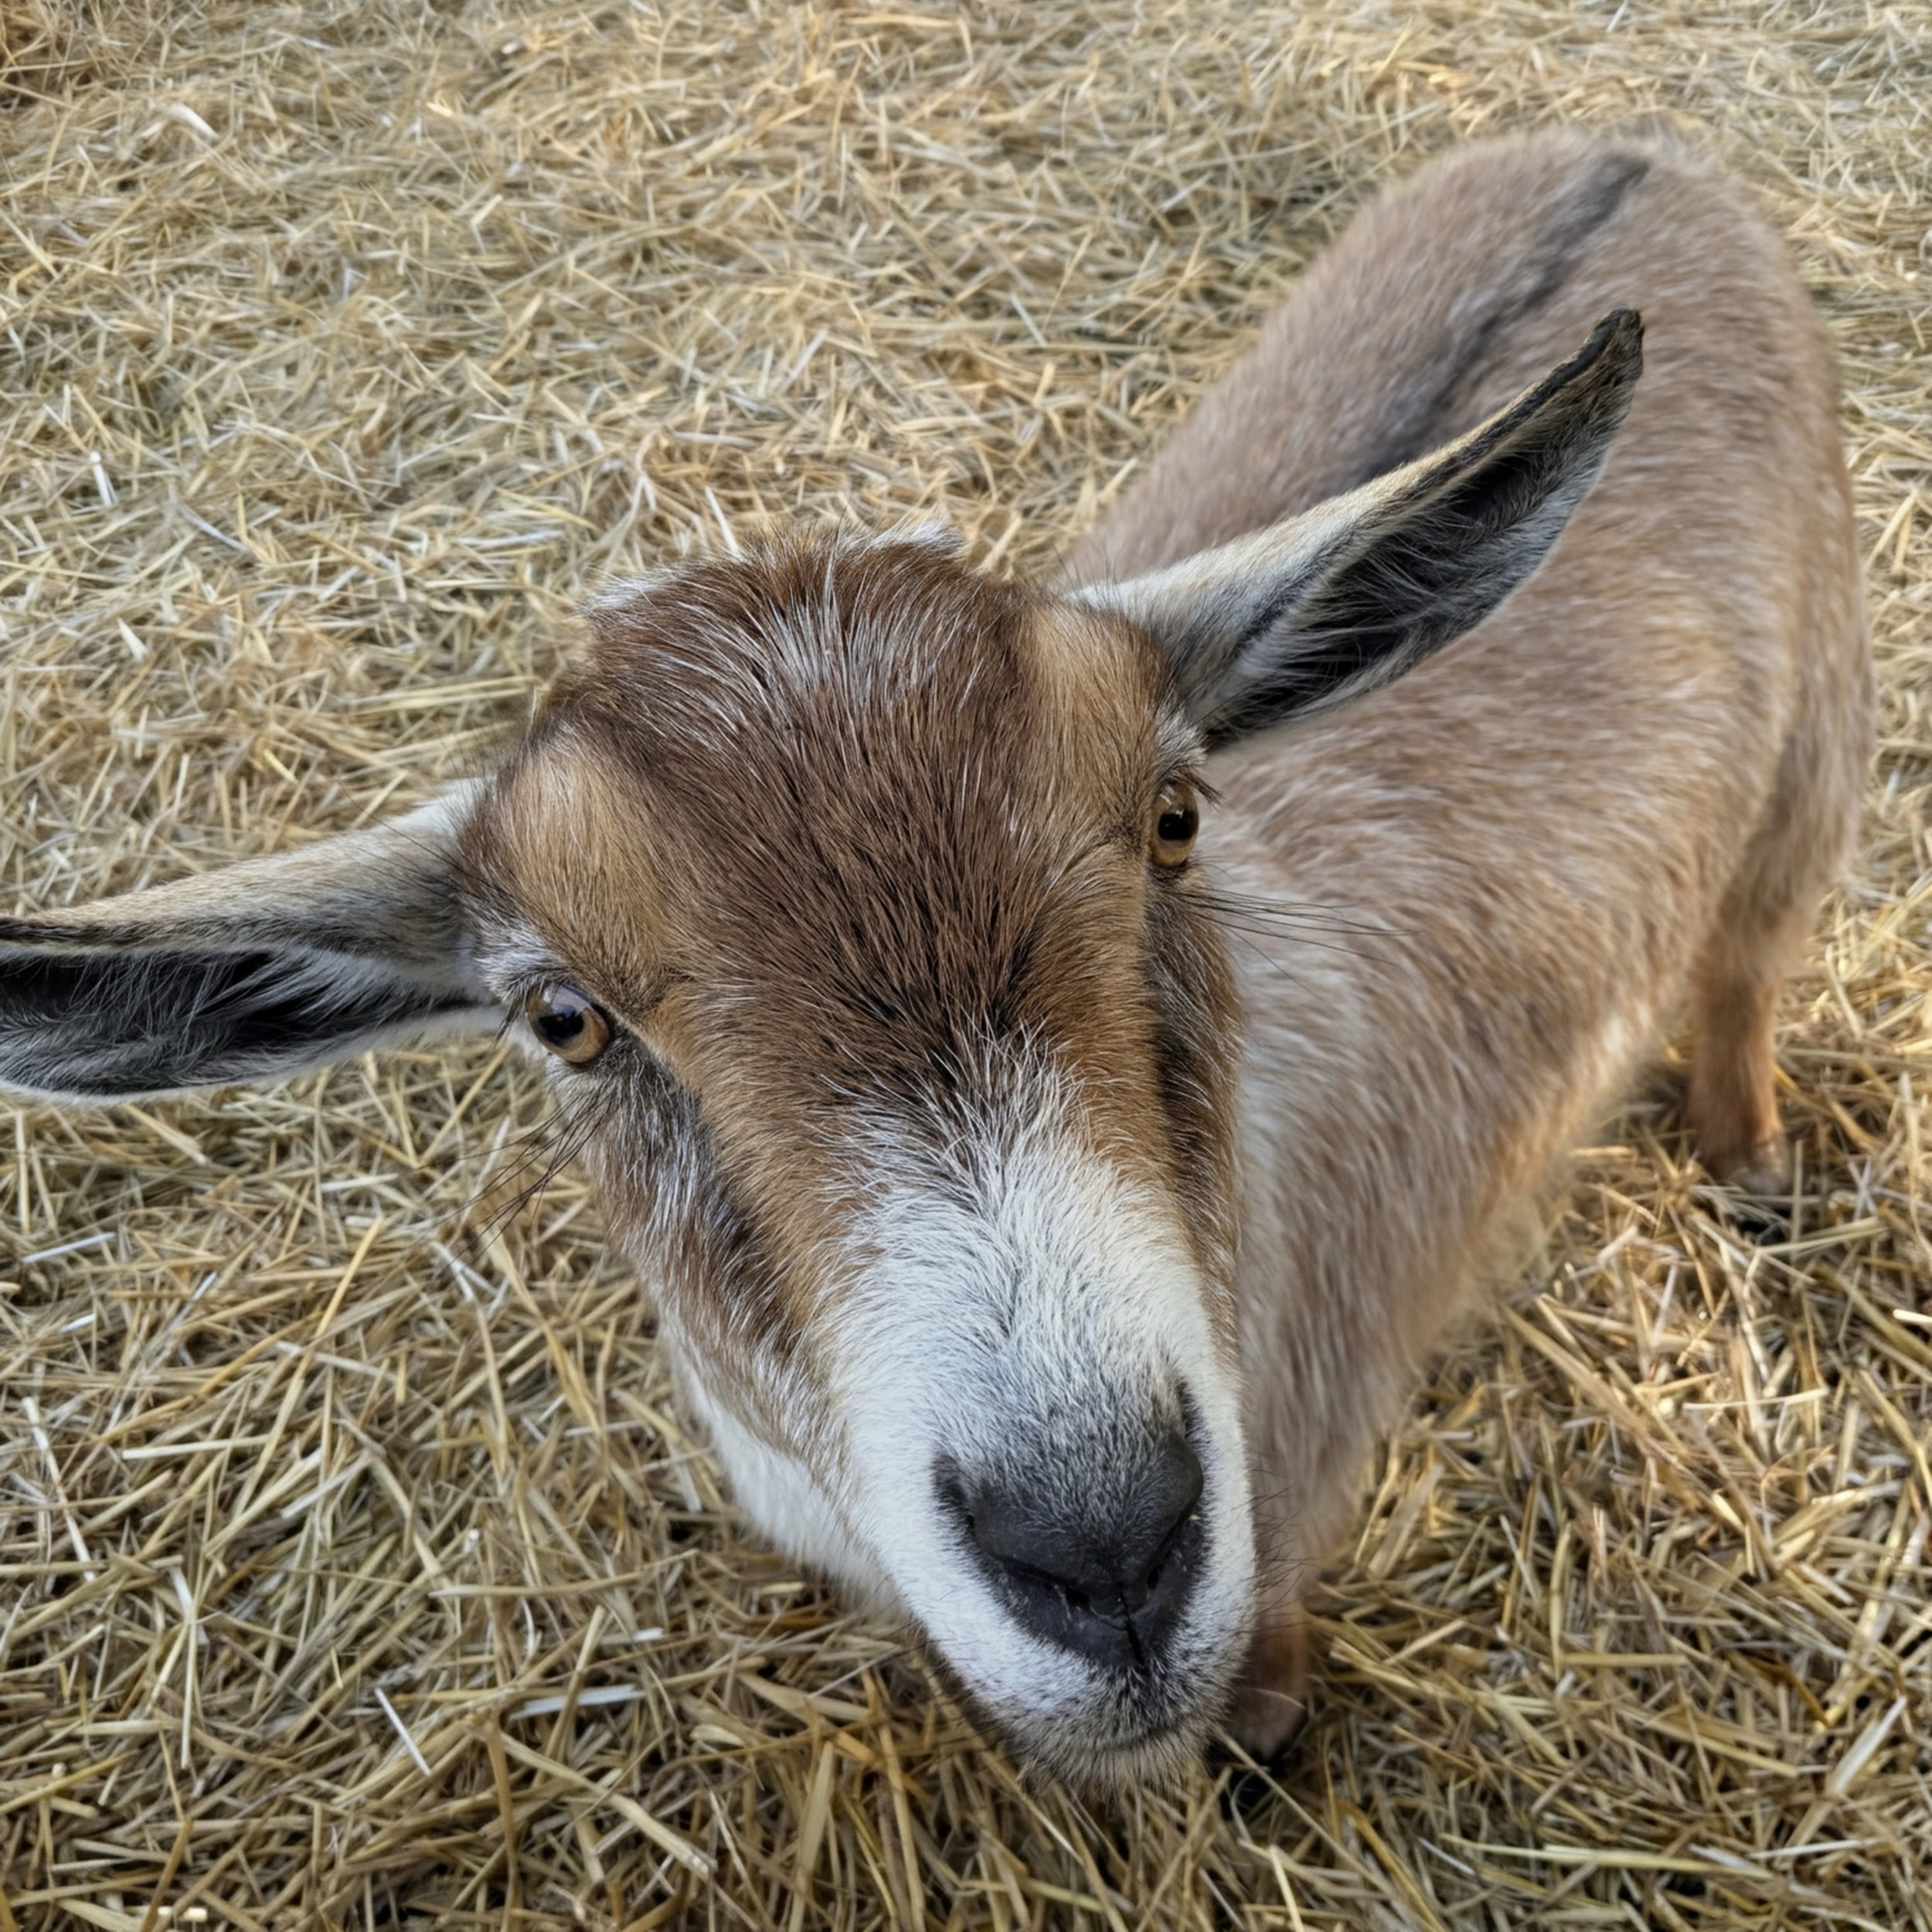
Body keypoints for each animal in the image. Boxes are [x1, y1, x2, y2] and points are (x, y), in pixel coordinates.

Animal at [0, 131, 1870, 1782]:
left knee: (1745, 959)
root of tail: (1637, 150)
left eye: (1171, 816)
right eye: (564, 1017)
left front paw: (1257, 1736)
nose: (1103, 1548)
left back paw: (1750, 1158)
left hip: (1809, 755)